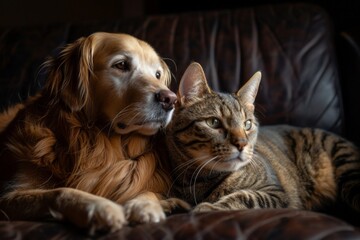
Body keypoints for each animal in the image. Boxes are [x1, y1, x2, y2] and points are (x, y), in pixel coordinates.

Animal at [0, 31, 186, 234]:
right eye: (121, 65)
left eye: (157, 74)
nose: (170, 99)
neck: (98, 144)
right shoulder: (9, 195)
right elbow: (59, 192)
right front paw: (101, 207)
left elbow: (148, 191)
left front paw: (145, 206)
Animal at [165, 61, 360, 214]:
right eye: (213, 122)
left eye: (247, 124)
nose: (242, 144)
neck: (199, 180)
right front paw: (171, 205)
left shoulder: (276, 192)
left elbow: (246, 197)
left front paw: (209, 207)